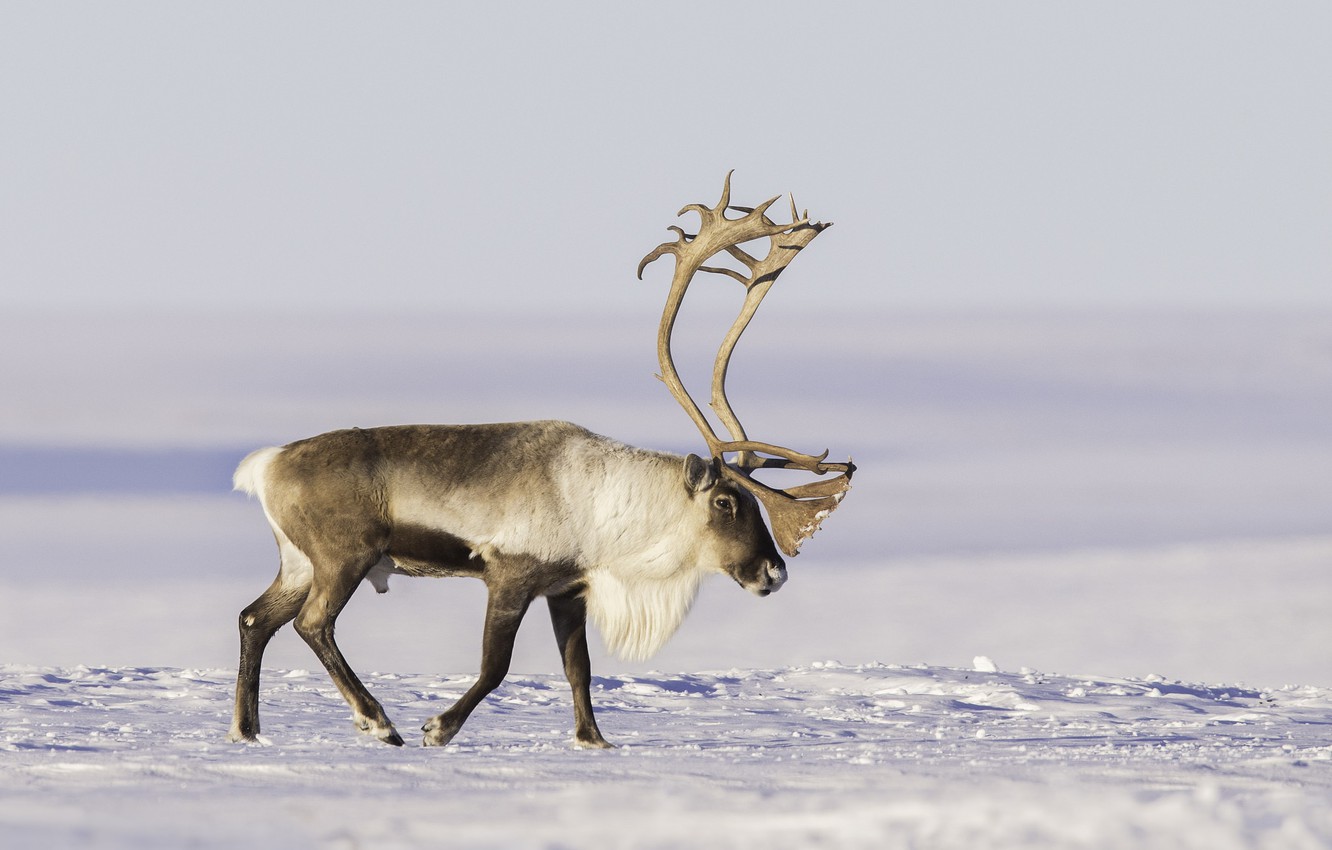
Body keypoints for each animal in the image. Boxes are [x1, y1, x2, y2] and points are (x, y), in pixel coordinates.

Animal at [227, 173, 855, 749]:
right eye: (726, 501)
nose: (774, 572)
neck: (608, 506)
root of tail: (266, 465)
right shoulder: (511, 574)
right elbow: (495, 666)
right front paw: (439, 728)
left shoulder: (567, 588)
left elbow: (579, 669)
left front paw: (594, 740)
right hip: (344, 557)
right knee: (313, 624)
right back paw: (379, 722)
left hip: (299, 561)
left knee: (254, 619)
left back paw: (247, 730)